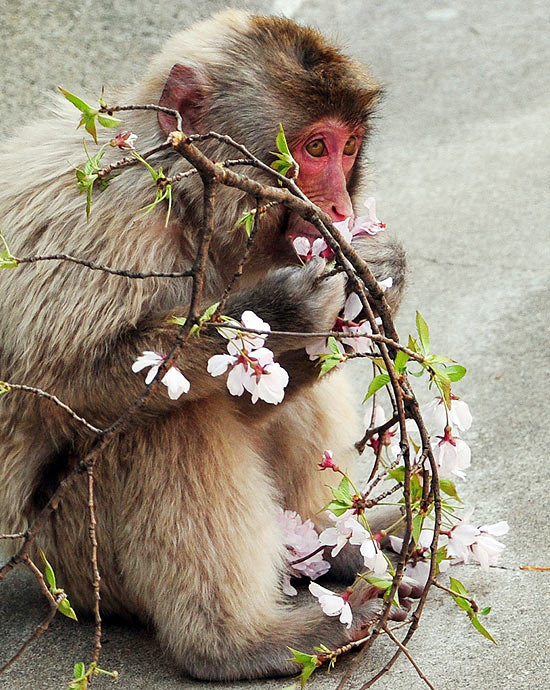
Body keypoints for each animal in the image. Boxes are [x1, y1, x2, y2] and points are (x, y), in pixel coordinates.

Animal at [0, 8, 406, 680]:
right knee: (166, 420)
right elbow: (61, 382)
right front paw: (283, 310)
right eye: (314, 148)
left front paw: (383, 272)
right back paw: (235, 641)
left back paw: (333, 546)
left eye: (348, 148)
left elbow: (253, 389)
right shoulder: (108, 222)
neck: (189, 201)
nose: (340, 205)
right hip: (70, 564)